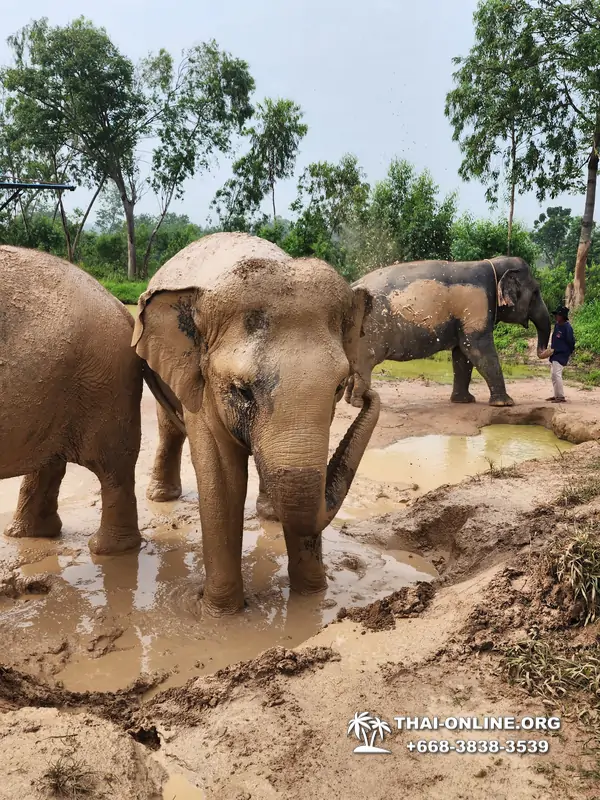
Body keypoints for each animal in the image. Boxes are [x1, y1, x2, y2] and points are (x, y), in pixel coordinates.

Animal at [0, 245, 180, 554]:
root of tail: (122, 307)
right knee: (52, 460)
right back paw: (28, 534)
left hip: (102, 383)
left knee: (113, 467)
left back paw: (107, 550)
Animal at [132, 232, 380, 616]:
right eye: (242, 390)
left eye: (339, 387)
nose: (365, 394)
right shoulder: (202, 384)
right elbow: (223, 477)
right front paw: (220, 614)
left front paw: (312, 599)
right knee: (169, 428)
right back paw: (162, 497)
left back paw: (270, 515)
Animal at [344, 257, 551, 408]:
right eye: (535, 292)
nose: (548, 351)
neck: (493, 264)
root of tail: (351, 285)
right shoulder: (477, 306)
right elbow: (478, 350)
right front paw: (505, 403)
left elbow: (462, 355)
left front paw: (464, 401)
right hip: (368, 332)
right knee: (365, 363)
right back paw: (358, 403)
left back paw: (349, 400)